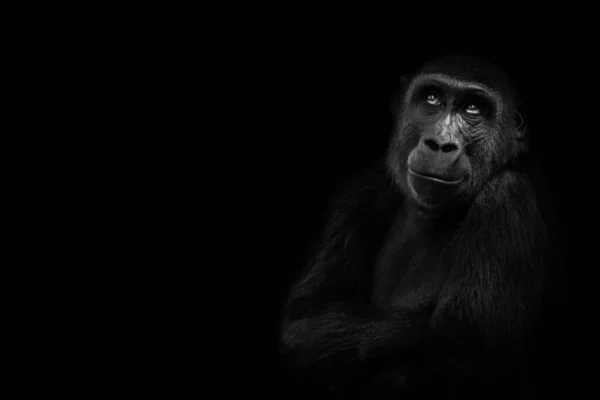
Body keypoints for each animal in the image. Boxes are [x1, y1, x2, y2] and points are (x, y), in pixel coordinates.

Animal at [278, 54, 556, 398]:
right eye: (431, 98)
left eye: (473, 108)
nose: (440, 143)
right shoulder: (362, 189)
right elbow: (305, 319)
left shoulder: (506, 199)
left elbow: (464, 348)